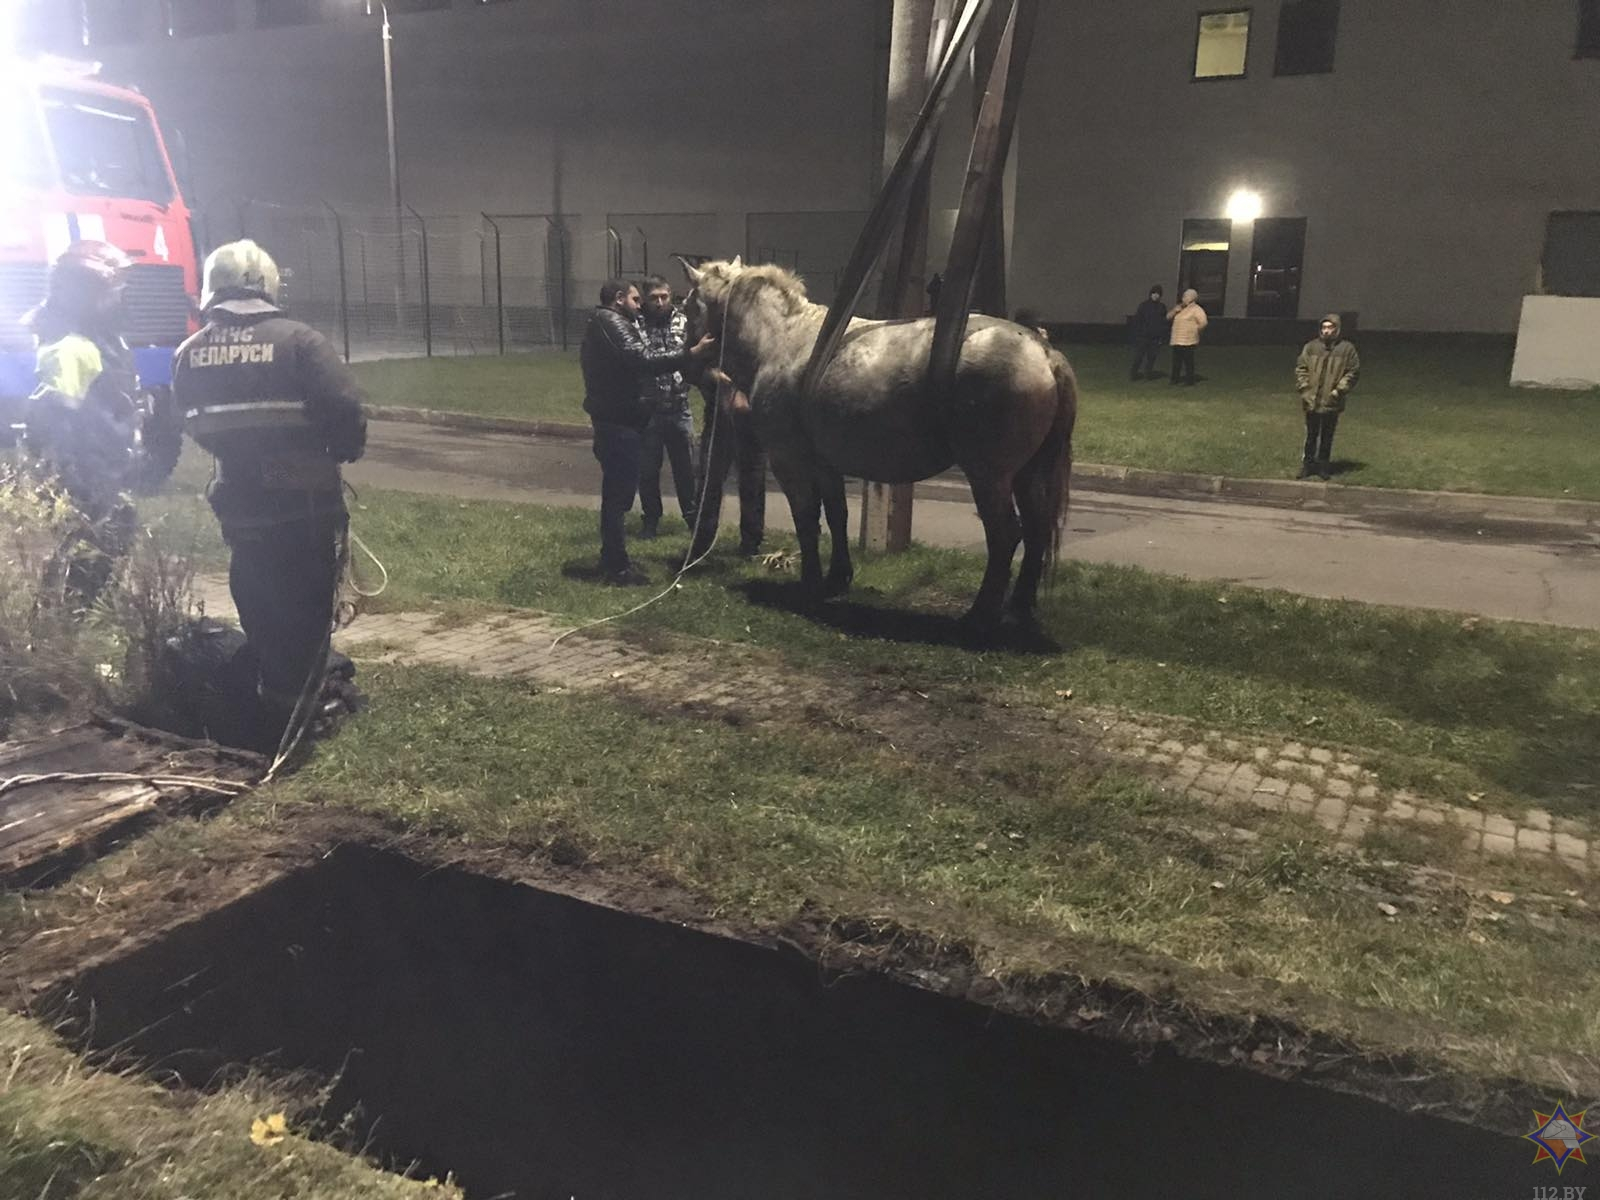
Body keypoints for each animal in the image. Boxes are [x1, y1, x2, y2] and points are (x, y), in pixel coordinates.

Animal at [675, 257, 1075, 633]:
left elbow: (806, 519)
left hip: (989, 476)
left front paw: (810, 582)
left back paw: (980, 614)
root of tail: (1044, 353)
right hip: (1027, 473)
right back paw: (1019, 607)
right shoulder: (825, 462)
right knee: (1037, 529)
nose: (687, 366)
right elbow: (836, 515)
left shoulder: (789, 460)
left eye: (689, 305)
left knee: (1006, 535)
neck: (781, 338)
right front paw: (837, 577)